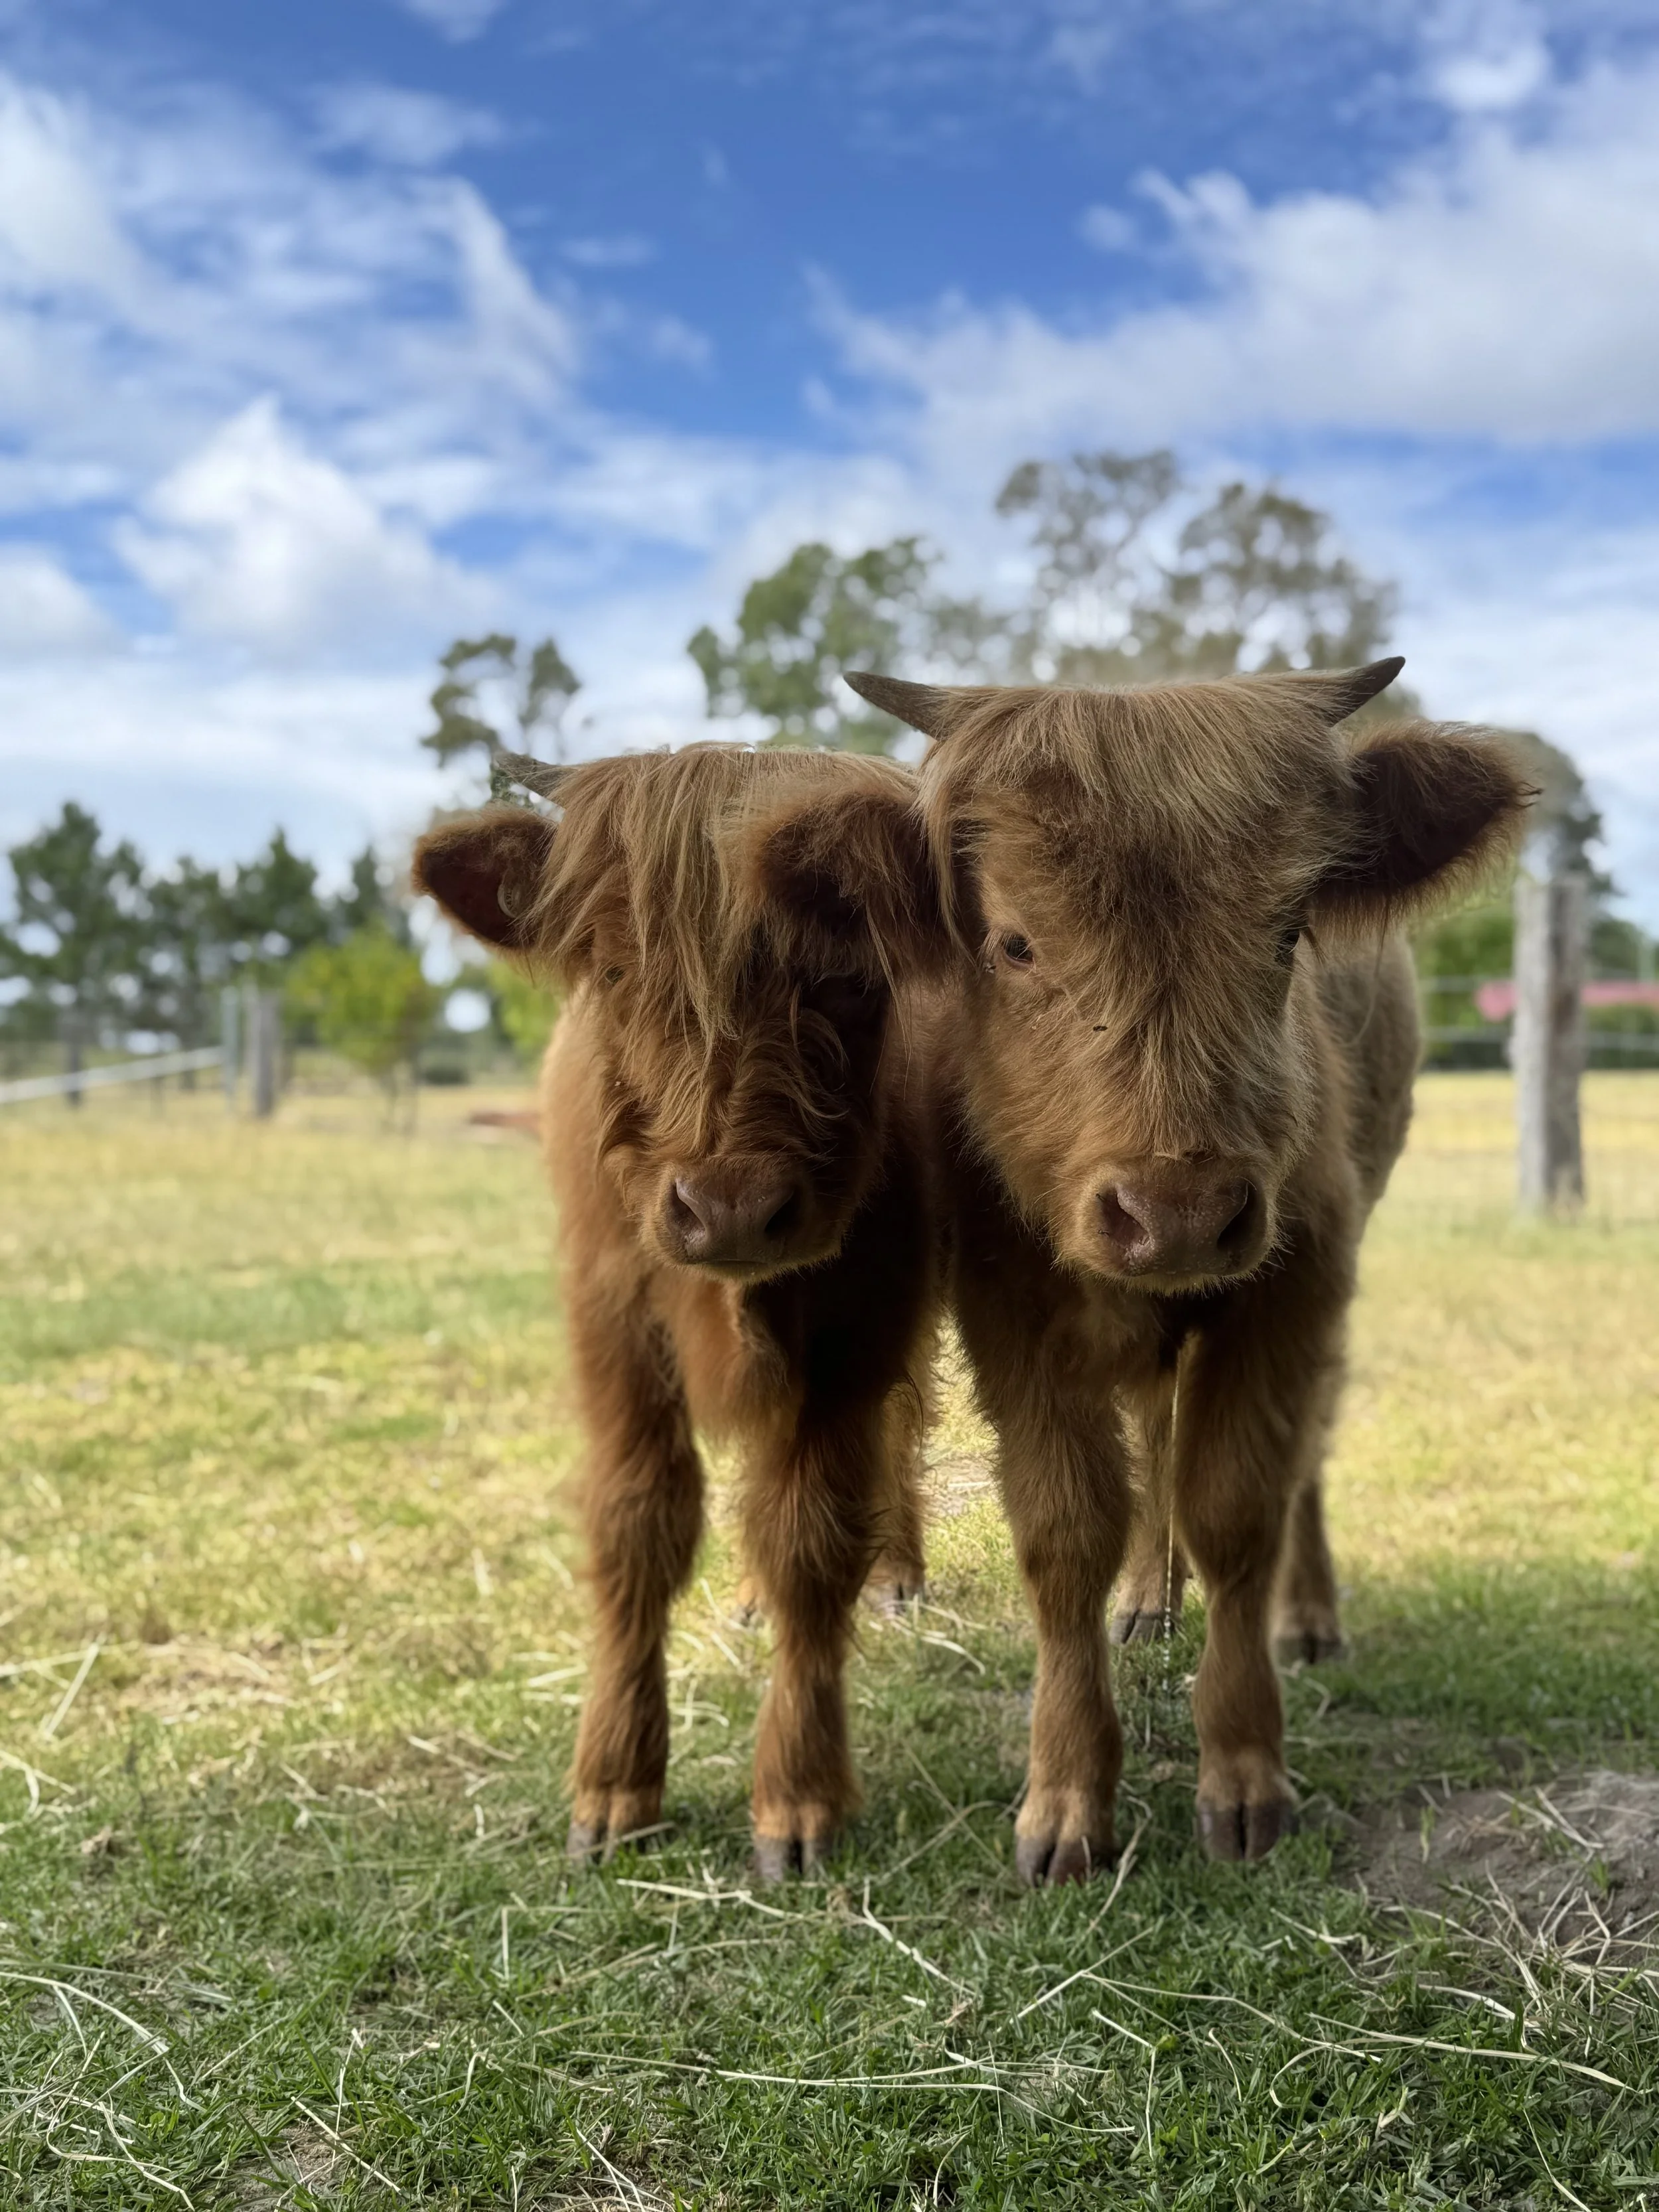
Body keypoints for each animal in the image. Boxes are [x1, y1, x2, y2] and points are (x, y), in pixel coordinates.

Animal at [413, 744, 946, 1879]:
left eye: (846, 975)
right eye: (615, 972)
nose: (731, 1206)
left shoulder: (863, 1321)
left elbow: (814, 1535)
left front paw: (797, 1798)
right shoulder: (612, 1323)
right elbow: (637, 1524)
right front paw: (615, 1786)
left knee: (901, 1431)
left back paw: (896, 1570)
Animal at [833, 660, 1530, 1873]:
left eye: (1291, 928)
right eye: (1014, 941)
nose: (1181, 1216)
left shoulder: (1294, 1288)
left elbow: (1240, 1505)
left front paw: (1244, 1775)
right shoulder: (1011, 1309)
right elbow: (1067, 1532)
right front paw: (1065, 1799)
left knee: (1297, 1456)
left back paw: (1307, 1615)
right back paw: (1149, 1598)